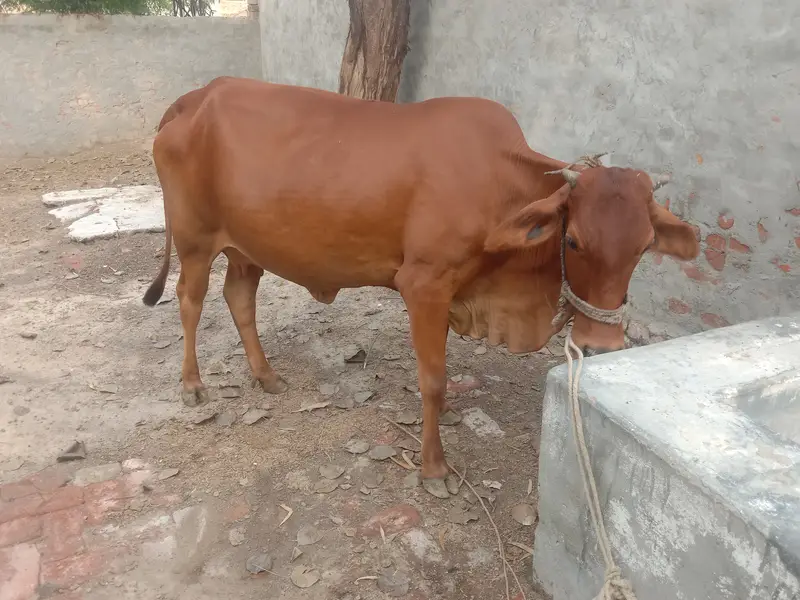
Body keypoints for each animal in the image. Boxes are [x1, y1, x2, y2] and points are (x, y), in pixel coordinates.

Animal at [142, 76, 699, 496]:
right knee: (189, 302)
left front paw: (449, 414)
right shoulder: (423, 285)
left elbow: (442, 374)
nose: (600, 345)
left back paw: (266, 376)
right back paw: (193, 385)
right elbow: (431, 378)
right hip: (195, 241)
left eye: (645, 246)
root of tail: (197, 97)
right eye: (575, 240)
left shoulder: (451, 293)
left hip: (247, 248)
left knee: (239, 300)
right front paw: (434, 468)